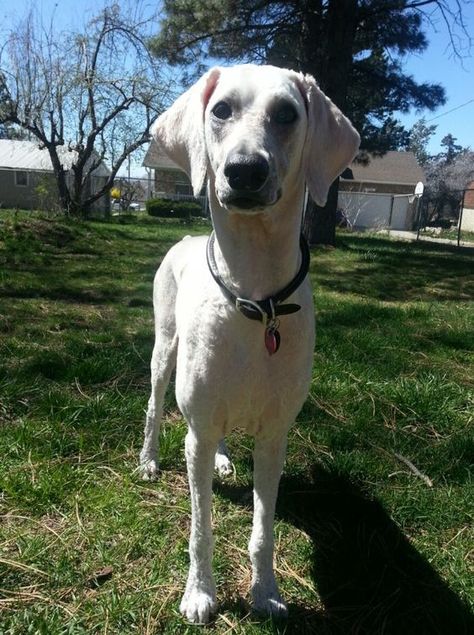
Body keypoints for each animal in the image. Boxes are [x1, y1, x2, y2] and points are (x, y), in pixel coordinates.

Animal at [140, 66, 360, 628]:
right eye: (220, 110)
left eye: (287, 113)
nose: (244, 171)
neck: (255, 296)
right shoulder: (196, 427)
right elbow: (200, 528)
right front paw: (199, 593)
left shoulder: (274, 436)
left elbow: (264, 530)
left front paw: (266, 592)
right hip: (165, 348)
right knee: (153, 405)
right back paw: (148, 459)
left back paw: (220, 460)